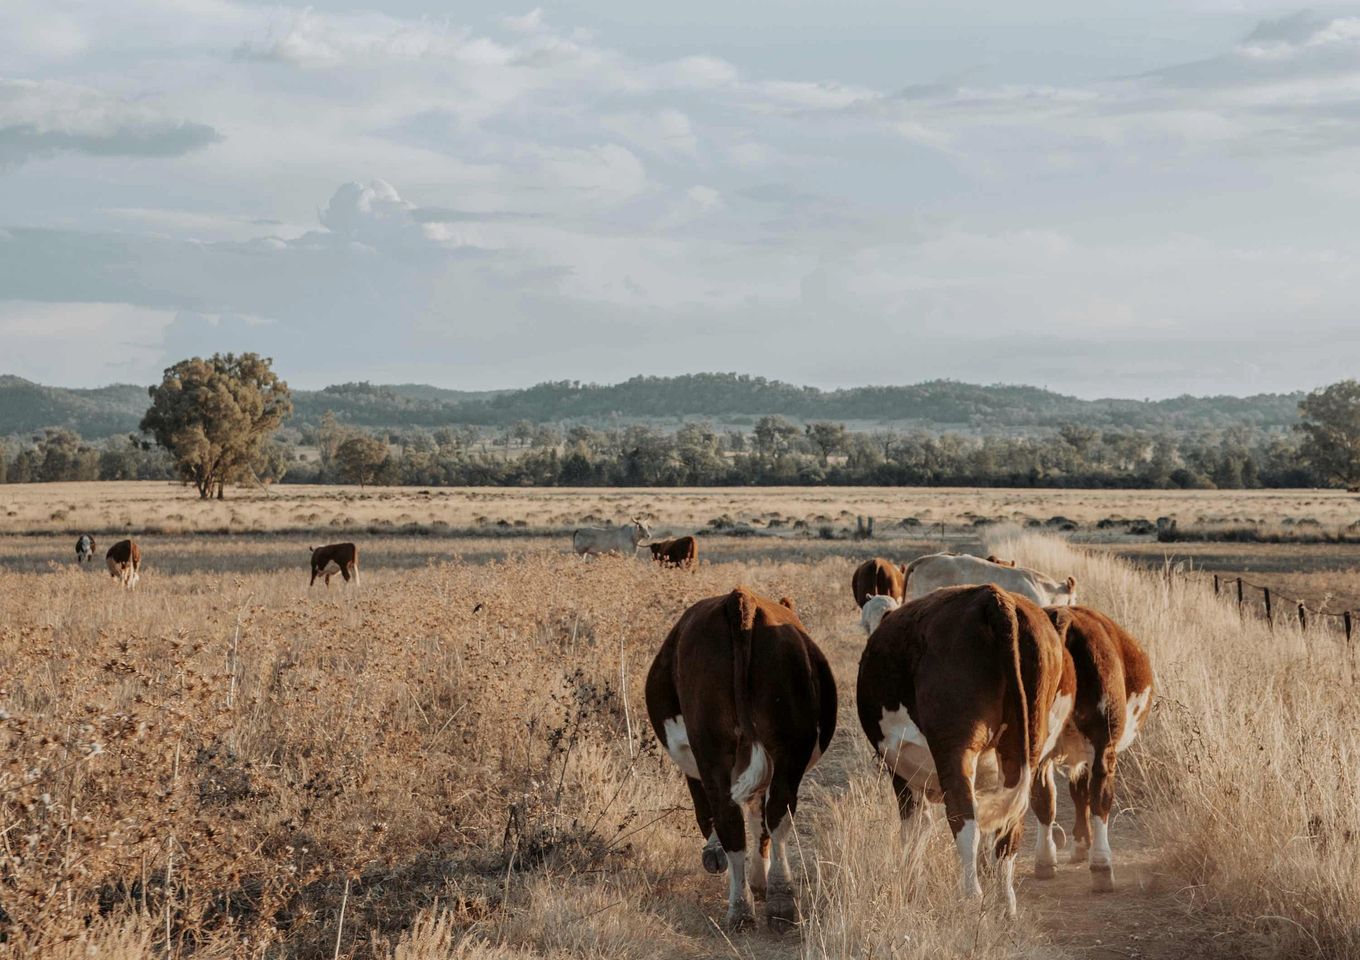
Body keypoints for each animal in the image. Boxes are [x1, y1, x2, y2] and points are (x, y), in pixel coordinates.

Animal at [645, 587, 837, 929]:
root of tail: (740, 598)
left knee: (729, 817)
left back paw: (743, 907)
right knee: (775, 812)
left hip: (711, 744)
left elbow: (708, 812)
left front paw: (717, 856)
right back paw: (778, 901)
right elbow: (758, 819)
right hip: (787, 745)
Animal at [856, 584, 1070, 917]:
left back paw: (971, 897)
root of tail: (992, 597)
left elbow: (915, 825)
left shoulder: (900, 768)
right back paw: (1005, 903)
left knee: (963, 816)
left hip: (954, 746)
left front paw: (909, 882)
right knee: (1012, 824)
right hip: (1026, 742)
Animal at [1031, 606, 1154, 892]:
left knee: (1043, 796)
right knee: (1100, 796)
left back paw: (1045, 861)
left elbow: (1075, 791)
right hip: (1103, 739)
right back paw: (1101, 865)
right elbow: (1083, 792)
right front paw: (1082, 845)